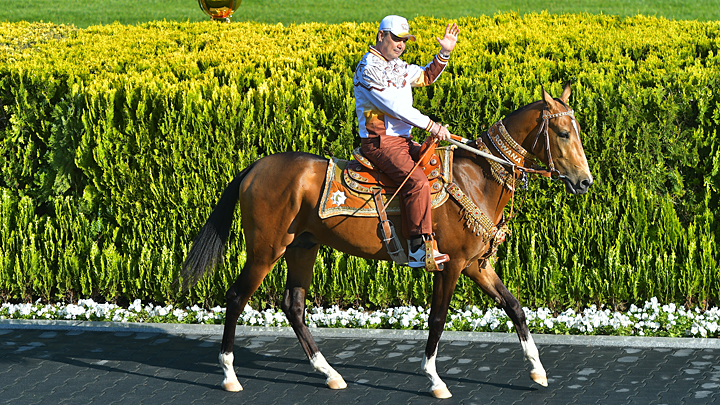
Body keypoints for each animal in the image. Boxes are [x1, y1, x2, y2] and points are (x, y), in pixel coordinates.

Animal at [180, 82, 592, 398]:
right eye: (562, 133)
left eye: (577, 132)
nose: (584, 181)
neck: (475, 177)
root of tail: (254, 167)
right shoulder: (450, 265)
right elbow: (438, 319)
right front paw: (434, 379)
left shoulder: (476, 265)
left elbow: (515, 307)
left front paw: (537, 370)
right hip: (266, 250)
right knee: (236, 298)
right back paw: (229, 374)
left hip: (303, 247)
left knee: (293, 306)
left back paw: (329, 373)